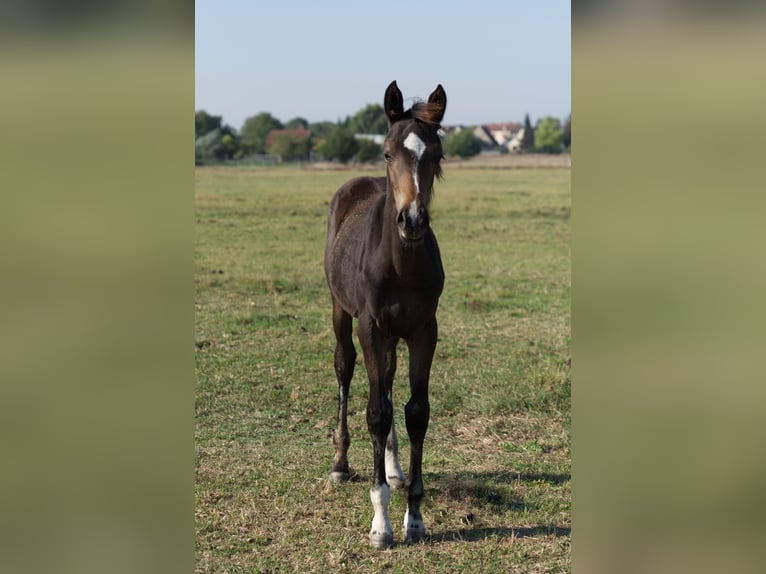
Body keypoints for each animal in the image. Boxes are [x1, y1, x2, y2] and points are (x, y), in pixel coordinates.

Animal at [326, 80, 448, 548]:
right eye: (387, 152)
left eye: (437, 154)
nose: (411, 220)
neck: (401, 264)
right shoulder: (371, 327)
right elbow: (377, 412)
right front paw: (381, 524)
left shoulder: (423, 329)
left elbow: (416, 411)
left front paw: (414, 516)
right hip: (341, 311)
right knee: (345, 368)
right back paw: (341, 464)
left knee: (392, 382)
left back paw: (394, 470)